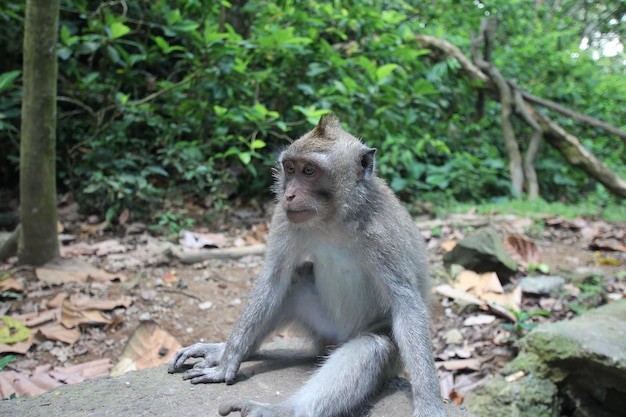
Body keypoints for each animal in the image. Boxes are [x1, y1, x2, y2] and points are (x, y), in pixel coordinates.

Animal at [168, 114, 446, 416]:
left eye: (309, 171)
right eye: (290, 169)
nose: (288, 195)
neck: (334, 219)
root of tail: (335, 340)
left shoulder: (383, 232)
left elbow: (405, 303)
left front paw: (429, 405)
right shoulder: (284, 216)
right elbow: (274, 278)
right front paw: (227, 361)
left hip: (382, 351)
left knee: (373, 345)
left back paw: (284, 410)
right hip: (321, 326)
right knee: (296, 279)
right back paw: (229, 352)